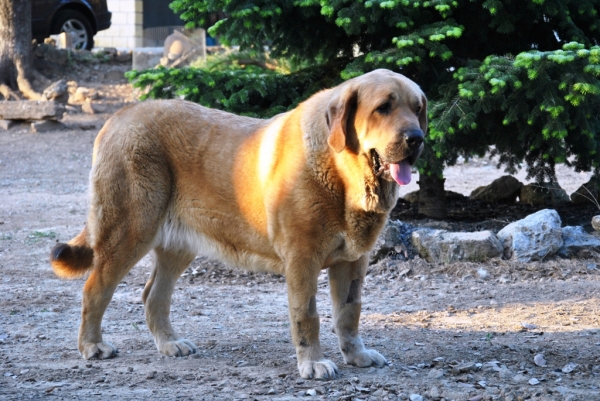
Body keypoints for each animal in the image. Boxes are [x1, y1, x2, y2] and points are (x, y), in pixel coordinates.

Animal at [51, 69, 426, 378]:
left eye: (417, 108)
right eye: (383, 108)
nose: (417, 137)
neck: (342, 172)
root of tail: (119, 116)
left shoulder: (353, 261)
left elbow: (349, 312)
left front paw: (356, 355)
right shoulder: (302, 260)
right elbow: (308, 316)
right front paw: (313, 363)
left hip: (177, 245)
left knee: (153, 295)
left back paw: (170, 344)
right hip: (128, 233)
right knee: (95, 289)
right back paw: (92, 346)